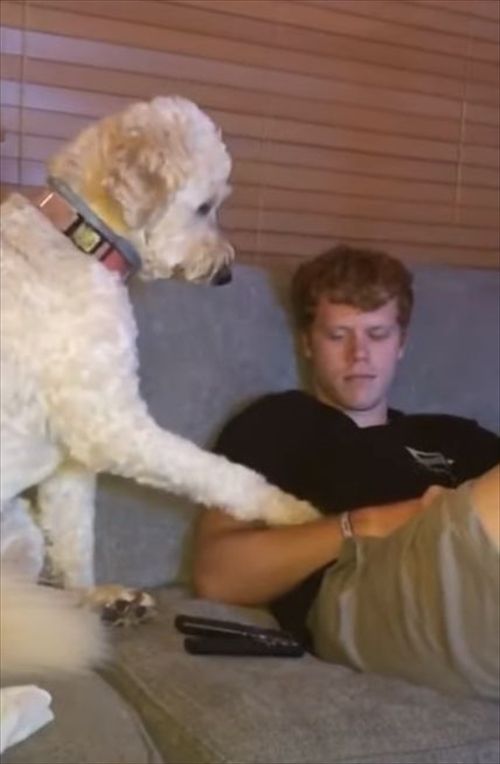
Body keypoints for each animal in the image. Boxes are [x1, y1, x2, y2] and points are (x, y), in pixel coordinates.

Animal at [0, 96, 318, 749]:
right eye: (205, 205)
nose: (225, 273)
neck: (80, 240)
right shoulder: (114, 426)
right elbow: (219, 473)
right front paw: (287, 508)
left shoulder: (74, 461)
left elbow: (76, 542)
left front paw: (90, 594)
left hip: (18, 536)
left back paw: (101, 608)